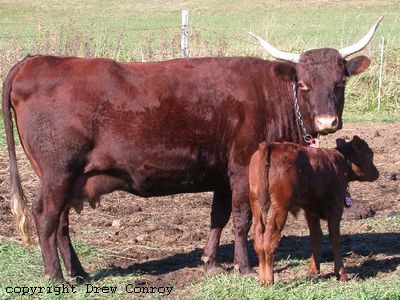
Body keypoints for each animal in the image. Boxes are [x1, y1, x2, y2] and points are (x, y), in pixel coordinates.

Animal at [248, 135, 380, 284]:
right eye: (370, 155)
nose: (377, 173)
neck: (340, 162)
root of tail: (270, 145)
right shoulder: (336, 208)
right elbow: (335, 238)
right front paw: (341, 274)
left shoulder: (311, 211)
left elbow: (316, 237)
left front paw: (313, 271)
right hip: (280, 207)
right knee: (270, 239)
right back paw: (268, 280)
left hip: (257, 204)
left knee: (258, 239)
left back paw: (262, 279)